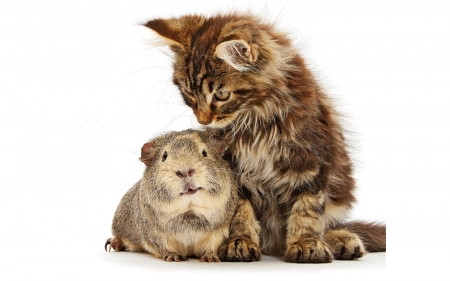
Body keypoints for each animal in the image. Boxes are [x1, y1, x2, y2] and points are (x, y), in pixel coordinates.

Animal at [143, 12, 384, 262]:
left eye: (221, 95)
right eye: (189, 92)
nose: (203, 120)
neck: (255, 118)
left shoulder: (310, 157)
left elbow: (307, 208)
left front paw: (306, 243)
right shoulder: (232, 166)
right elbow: (240, 210)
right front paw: (239, 242)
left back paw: (342, 239)